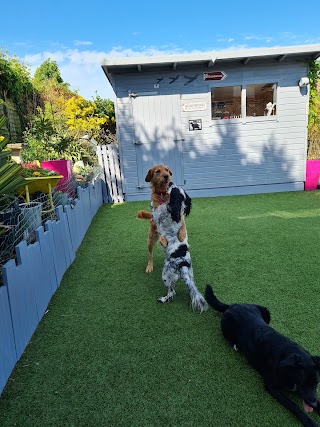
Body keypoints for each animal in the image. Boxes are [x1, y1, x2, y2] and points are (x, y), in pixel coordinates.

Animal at [152, 182, 208, 312]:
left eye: (174, 190)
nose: (170, 182)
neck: (174, 213)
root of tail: (183, 265)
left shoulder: (157, 215)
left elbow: (155, 209)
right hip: (191, 274)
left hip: (165, 275)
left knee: (172, 292)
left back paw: (163, 299)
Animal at [205, 284, 320, 427]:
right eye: (303, 384)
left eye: (316, 384)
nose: (313, 404)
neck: (286, 355)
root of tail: (232, 305)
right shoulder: (272, 386)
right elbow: (294, 406)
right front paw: (309, 422)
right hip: (227, 326)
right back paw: (235, 344)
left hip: (265, 311)